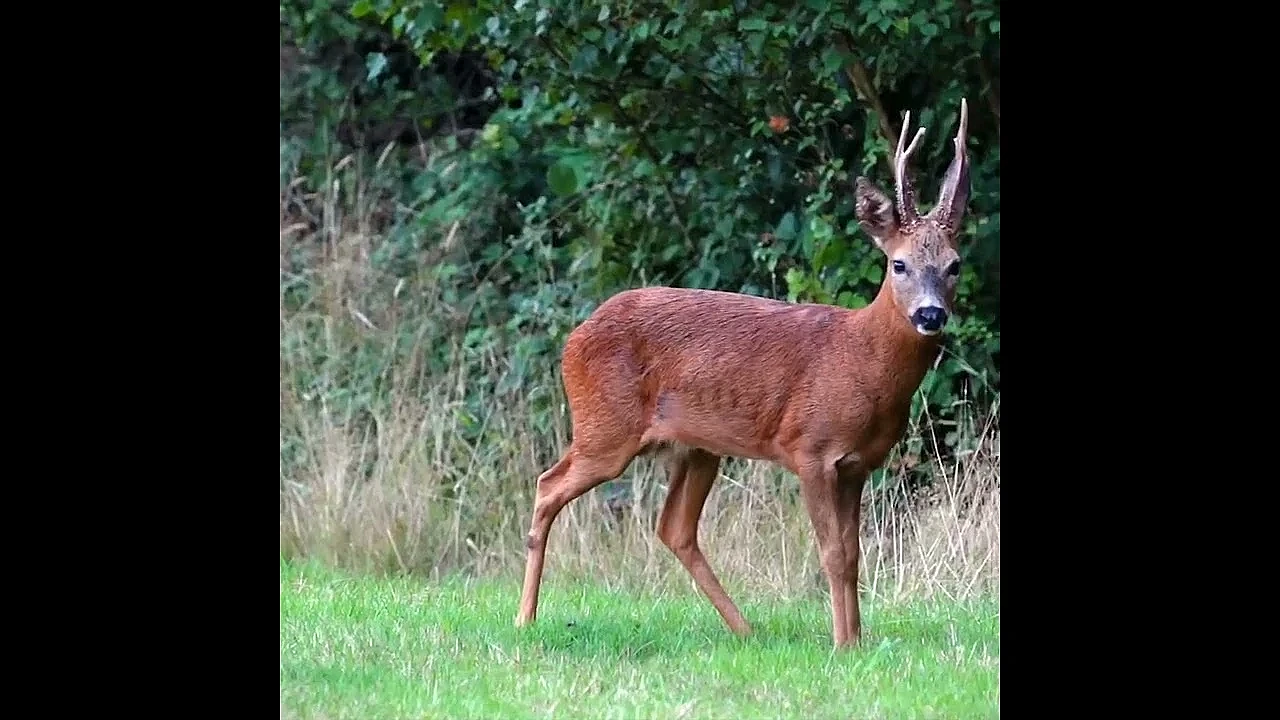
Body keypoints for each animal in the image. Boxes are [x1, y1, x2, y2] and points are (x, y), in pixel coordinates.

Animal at [515, 99, 972, 649]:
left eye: (954, 264)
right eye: (899, 264)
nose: (930, 314)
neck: (862, 360)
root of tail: (574, 337)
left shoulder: (858, 464)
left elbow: (853, 555)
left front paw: (856, 642)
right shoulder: (810, 448)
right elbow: (833, 554)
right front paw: (842, 645)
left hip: (696, 447)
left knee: (674, 528)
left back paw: (746, 630)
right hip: (605, 428)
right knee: (548, 485)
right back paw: (524, 619)